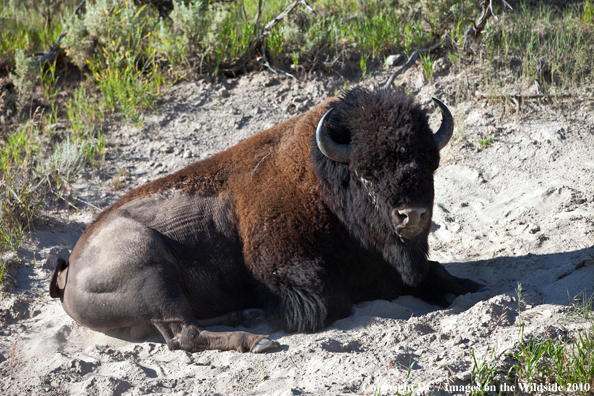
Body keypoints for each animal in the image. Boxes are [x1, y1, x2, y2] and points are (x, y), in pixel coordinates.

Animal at [49, 89, 480, 352]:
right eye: (367, 172)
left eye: (430, 163)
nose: (413, 215)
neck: (322, 180)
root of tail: (69, 270)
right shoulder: (288, 271)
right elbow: (335, 300)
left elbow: (436, 272)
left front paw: (466, 284)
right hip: (151, 270)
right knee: (183, 333)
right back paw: (256, 340)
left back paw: (245, 316)